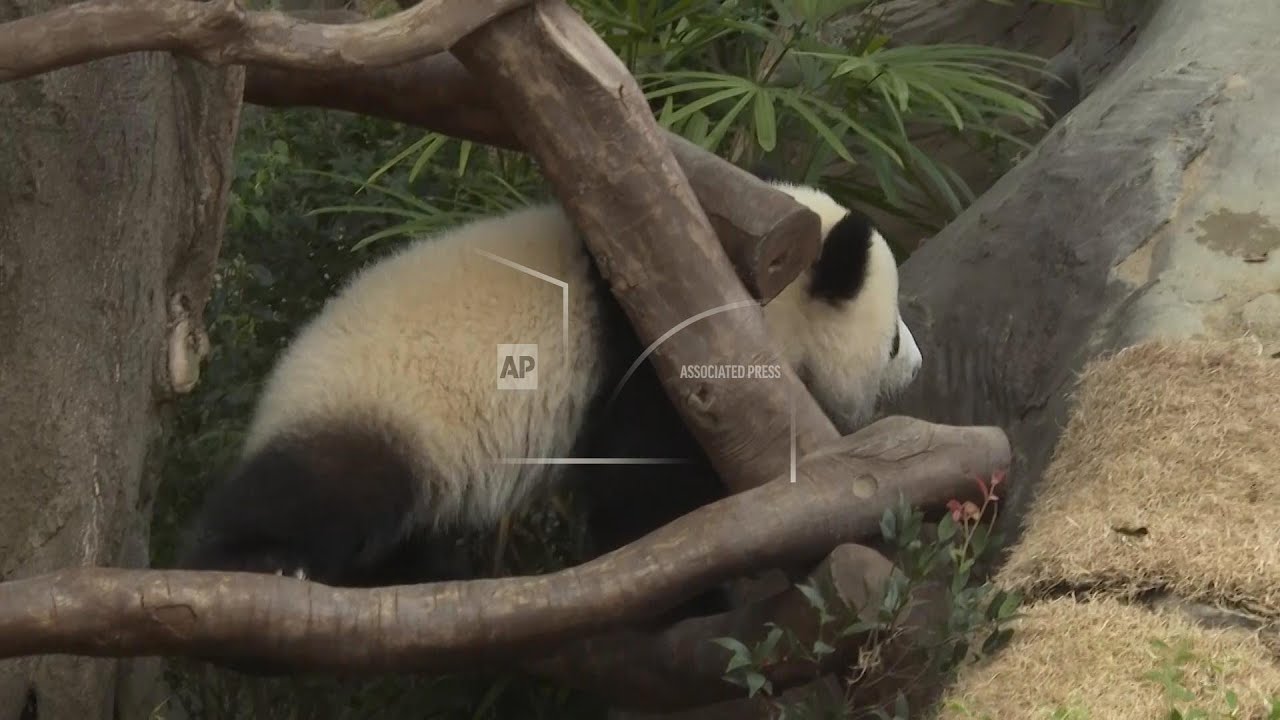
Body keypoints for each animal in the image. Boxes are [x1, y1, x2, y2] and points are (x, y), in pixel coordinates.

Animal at [176, 179, 923, 599]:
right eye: (889, 338)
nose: (916, 365)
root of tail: (279, 389)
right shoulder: (656, 347)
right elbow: (645, 485)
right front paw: (694, 587)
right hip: (381, 404)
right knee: (323, 487)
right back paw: (257, 560)